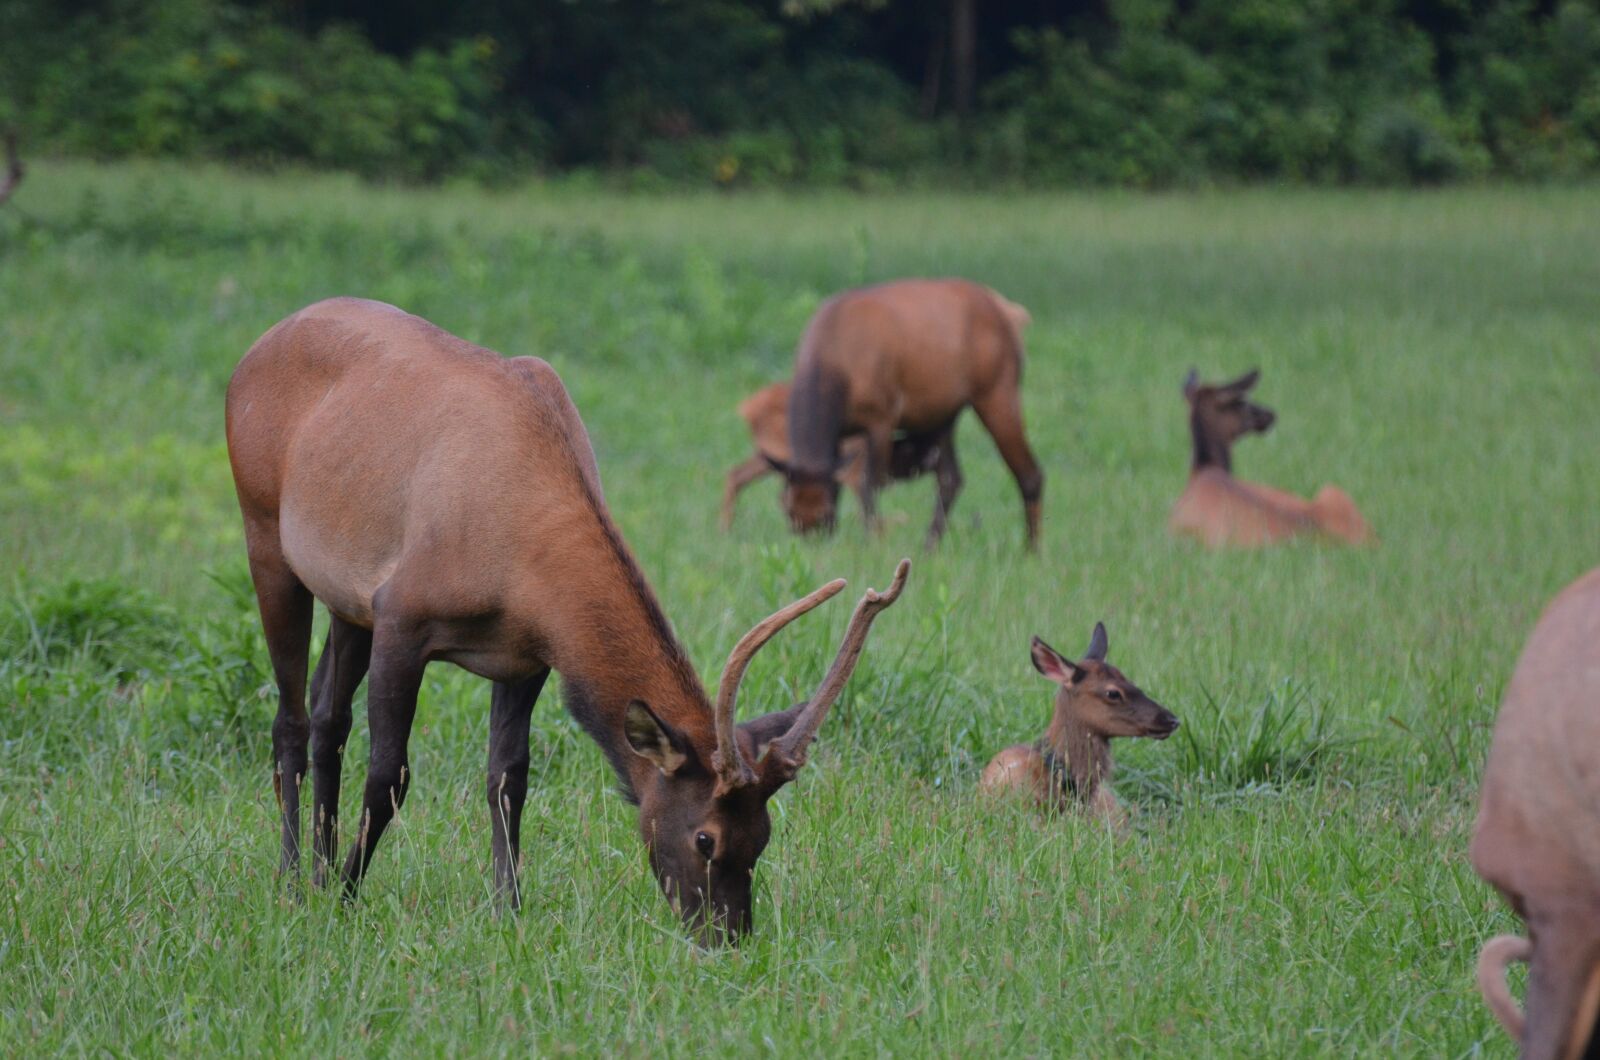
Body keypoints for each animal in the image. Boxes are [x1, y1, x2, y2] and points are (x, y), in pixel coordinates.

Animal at [225, 297, 911, 943]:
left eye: (763, 836)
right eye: (706, 838)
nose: (729, 936)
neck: (522, 563)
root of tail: (251, 353)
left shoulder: (526, 653)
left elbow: (508, 777)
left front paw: (509, 909)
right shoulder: (402, 615)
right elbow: (390, 775)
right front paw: (348, 895)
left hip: (348, 597)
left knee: (327, 713)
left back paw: (315, 868)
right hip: (265, 534)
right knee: (290, 718)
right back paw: (294, 878)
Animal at [720, 381, 942, 532]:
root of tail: (749, 407)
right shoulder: (854, 475)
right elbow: (869, 513)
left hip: (769, 455)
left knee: (735, 474)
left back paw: (725, 530)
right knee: (776, 493)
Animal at [779, 278, 1043, 550]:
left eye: (824, 514)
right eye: (789, 513)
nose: (814, 544)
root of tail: (1011, 313)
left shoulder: (882, 417)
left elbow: (869, 482)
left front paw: (873, 540)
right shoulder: (841, 432)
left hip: (997, 389)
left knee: (1030, 473)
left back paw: (1031, 550)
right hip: (942, 412)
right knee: (950, 478)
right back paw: (929, 546)